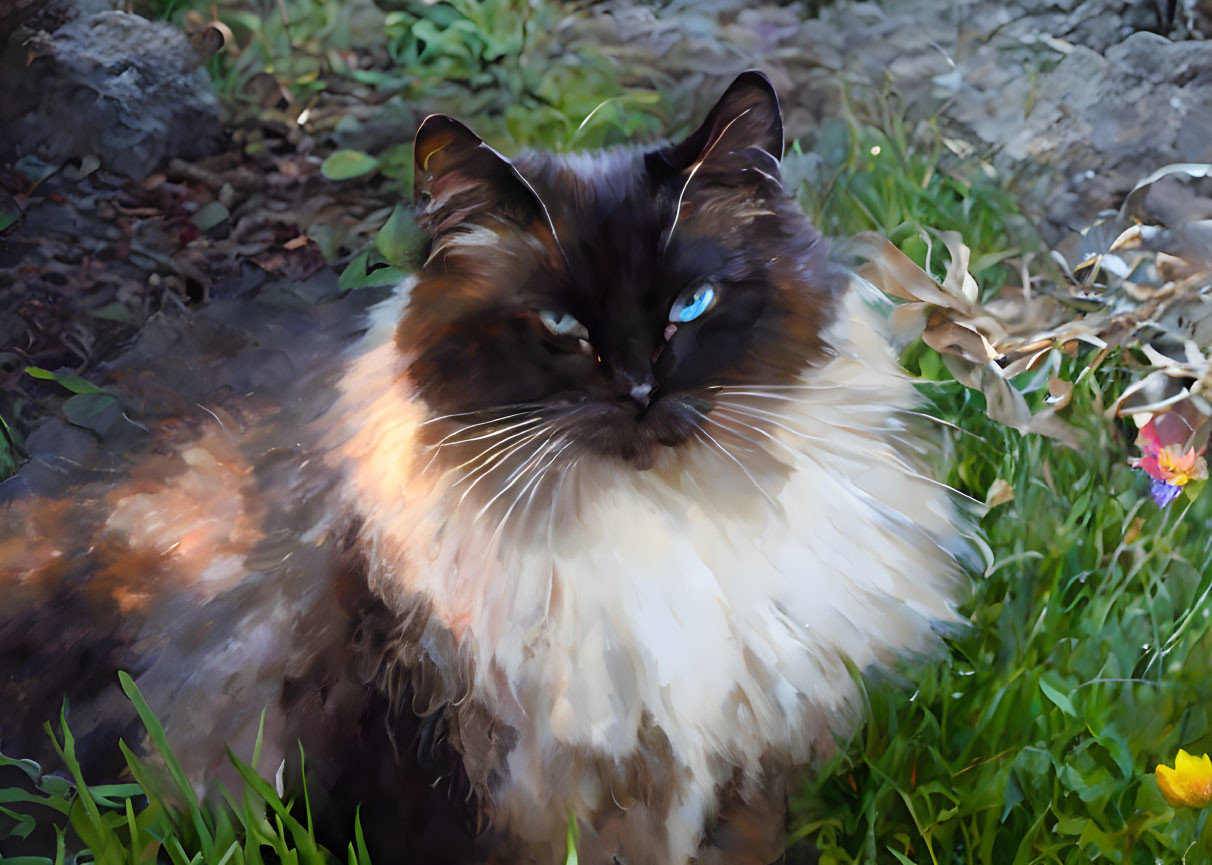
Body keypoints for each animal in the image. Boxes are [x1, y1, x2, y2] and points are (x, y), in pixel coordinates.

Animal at [2, 74, 964, 862]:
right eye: (561, 326)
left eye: (692, 305)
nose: (639, 391)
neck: (656, 526)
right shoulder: (441, 763)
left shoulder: (744, 771)